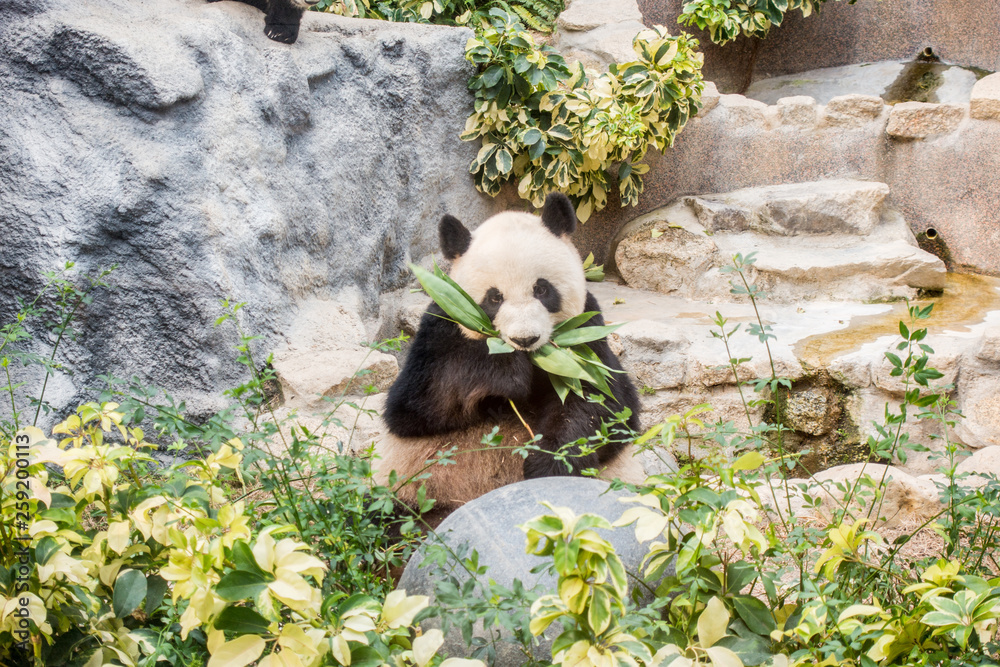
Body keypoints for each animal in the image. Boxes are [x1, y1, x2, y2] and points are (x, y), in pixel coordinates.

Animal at [374, 193, 643, 520]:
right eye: (494, 297)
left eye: (541, 289)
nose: (524, 339)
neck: (534, 359)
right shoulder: (443, 320)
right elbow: (415, 404)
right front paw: (506, 372)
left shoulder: (586, 334)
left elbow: (603, 403)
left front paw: (547, 463)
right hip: (406, 491)